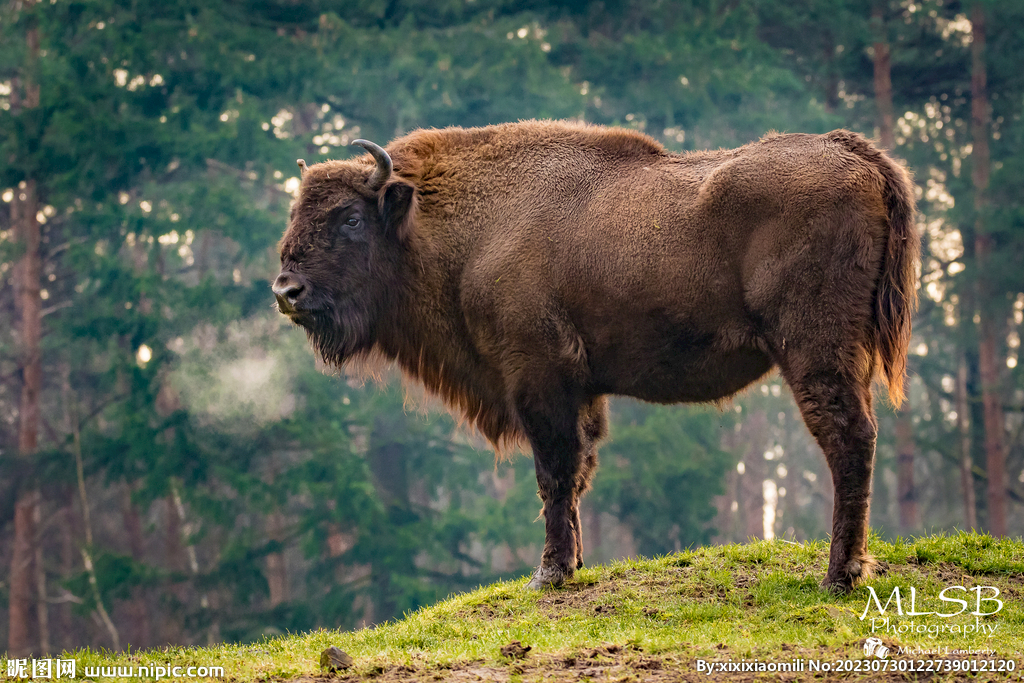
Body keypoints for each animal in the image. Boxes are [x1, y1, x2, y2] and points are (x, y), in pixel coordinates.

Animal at [272, 121, 921, 593]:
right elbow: (579, 470)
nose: (286, 291)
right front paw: (574, 565)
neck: (457, 221)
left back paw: (839, 576)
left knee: (848, 439)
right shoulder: (580, 390)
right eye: (295, 213)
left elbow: (555, 472)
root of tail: (854, 153)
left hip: (814, 349)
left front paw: (549, 574)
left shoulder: (538, 378)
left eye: (351, 218)